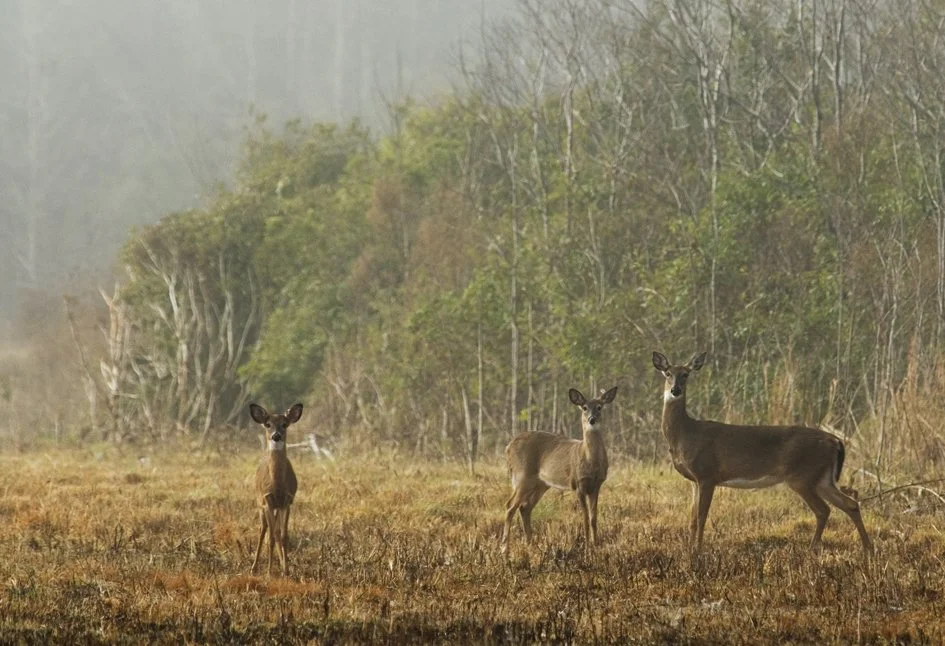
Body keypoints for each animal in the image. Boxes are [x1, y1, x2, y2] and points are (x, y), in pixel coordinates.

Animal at [248, 402, 302, 576]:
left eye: (284, 424)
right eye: (267, 424)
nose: (276, 436)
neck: (277, 485)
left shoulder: (287, 501)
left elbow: (283, 536)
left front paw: (286, 570)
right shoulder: (267, 501)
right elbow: (270, 537)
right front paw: (269, 572)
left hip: (276, 507)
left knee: (277, 531)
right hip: (259, 503)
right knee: (263, 530)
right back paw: (254, 568)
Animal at [500, 386, 618, 555]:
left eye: (599, 407)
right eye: (584, 407)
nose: (592, 419)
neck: (590, 461)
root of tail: (508, 447)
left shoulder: (596, 485)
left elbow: (593, 518)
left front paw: (595, 546)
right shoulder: (578, 484)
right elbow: (584, 518)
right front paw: (587, 548)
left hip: (540, 484)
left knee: (525, 507)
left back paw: (531, 545)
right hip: (522, 476)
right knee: (509, 506)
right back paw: (505, 548)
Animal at [651, 351, 873, 557]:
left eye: (686, 374)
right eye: (668, 373)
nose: (675, 390)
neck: (685, 434)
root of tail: (835, 441)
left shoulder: (707, 474)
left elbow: (701, 517)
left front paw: (697, 551)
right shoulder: (695, 480)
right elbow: (691, 519)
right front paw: (688, 550)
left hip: (802, 476)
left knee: (823, 509)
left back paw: (812, 548)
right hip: (823, 478)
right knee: (850, 504)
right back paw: (867, 548)